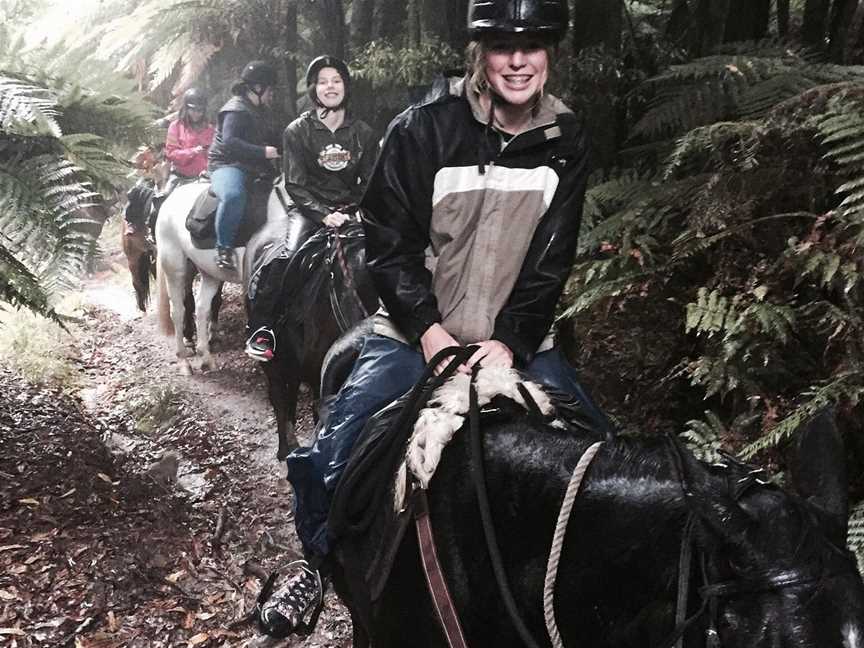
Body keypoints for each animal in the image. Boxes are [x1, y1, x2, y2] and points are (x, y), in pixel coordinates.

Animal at [156, 182, 290, 374]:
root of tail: (170, 198)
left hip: (209, 273)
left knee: (202, 307)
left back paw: (205, 356)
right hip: (175, 268)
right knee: (178, 311)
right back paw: (184, 361)